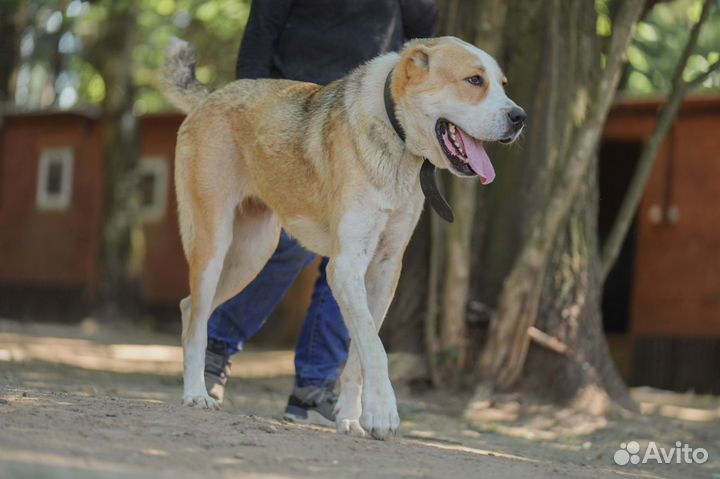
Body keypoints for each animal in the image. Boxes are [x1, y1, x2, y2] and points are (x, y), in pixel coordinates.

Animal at [163, 36, 524, 442]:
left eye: (503, 84)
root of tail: (213, 95)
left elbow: (359, 353)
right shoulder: (347, 265)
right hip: (214, 242)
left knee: (190, 306)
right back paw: (195, 392)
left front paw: (352, 418)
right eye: (474, 80)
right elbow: (376, 349)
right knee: (197, 320)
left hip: (251, 255)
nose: (519, 117)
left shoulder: (383, 269)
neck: (396, 139)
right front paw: (383, 413)